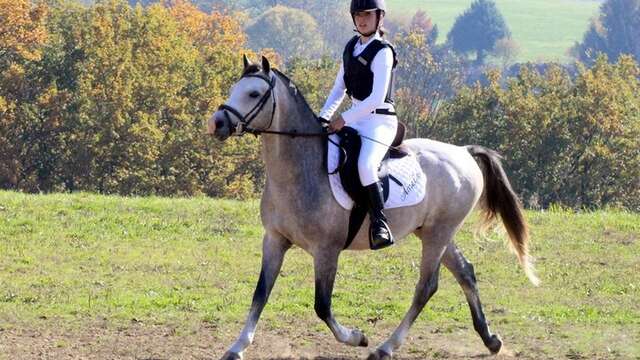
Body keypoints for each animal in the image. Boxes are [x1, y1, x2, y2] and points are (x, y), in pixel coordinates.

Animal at [208, 56, 536, 360]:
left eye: (253, 94)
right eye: (234, 88)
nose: (217, 123)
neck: (300, 170)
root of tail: (463, 152)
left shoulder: (326, 251)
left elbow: (322, 305)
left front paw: (357, 337)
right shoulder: (275, 240)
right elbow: (260, 293)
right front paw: (237, 347)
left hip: (438, 234)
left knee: (426, 287)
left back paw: (385, 347)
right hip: (433, 232)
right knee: (465, 272)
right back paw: (490, 339)